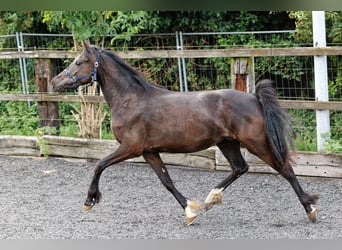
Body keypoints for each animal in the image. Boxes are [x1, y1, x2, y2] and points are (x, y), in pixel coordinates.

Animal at [50, 42, 318, 226]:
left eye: (79, 62)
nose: (54, 82)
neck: (130, 99)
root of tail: (254, 98)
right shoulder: (149, 151)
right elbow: (167, 181)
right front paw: (190, 211)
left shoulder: (130, 148)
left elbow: (99, 165)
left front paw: (89, 201)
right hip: (227, 143)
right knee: (240, 168)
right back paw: (211, 199)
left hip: (256, 142)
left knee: (285, 169)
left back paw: (310, 209)